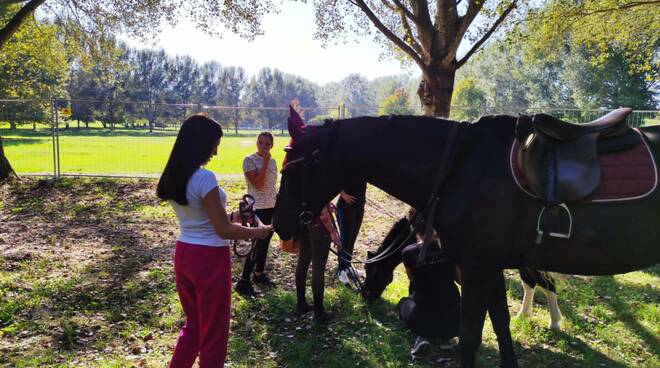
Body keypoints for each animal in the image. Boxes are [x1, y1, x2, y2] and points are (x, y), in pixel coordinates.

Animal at [364, 216, 560, 330]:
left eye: (375, 273)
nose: (366, 296)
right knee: (531, 284)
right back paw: (524, 316)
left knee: (547, 285)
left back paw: (554, 323)